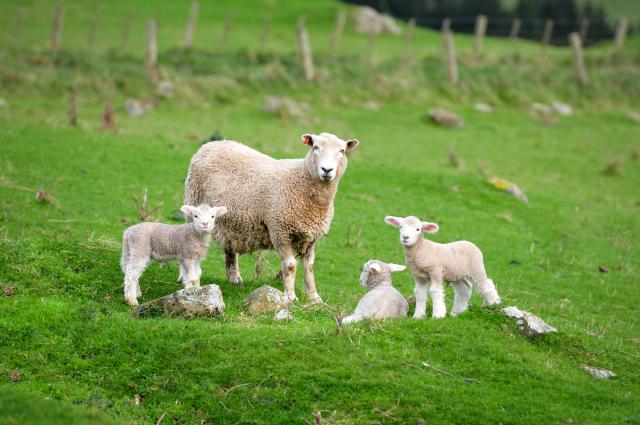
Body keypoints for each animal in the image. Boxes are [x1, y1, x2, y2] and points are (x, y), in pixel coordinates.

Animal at [184, 133, 359, 303]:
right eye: (315, 147)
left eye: (342, 151)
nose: (327, 170)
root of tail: (212, 144)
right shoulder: (280, 231)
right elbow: (290, 266)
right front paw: (290, 296)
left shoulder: (311, 238)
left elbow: (309, 266)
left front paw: (314, 297)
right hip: (194, 204)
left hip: (230, 223)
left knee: (230, 249)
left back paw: (234, 278)